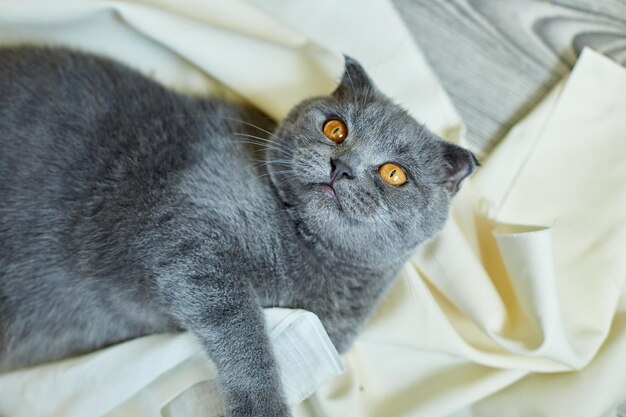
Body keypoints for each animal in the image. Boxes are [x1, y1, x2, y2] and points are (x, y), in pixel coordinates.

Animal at [0, 46, 472, 416]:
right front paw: (262, 407)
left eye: (395, 174)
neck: (305, 251)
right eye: (335, 128)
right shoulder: (191, 238)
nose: (342, 166)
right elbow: (245, 333)